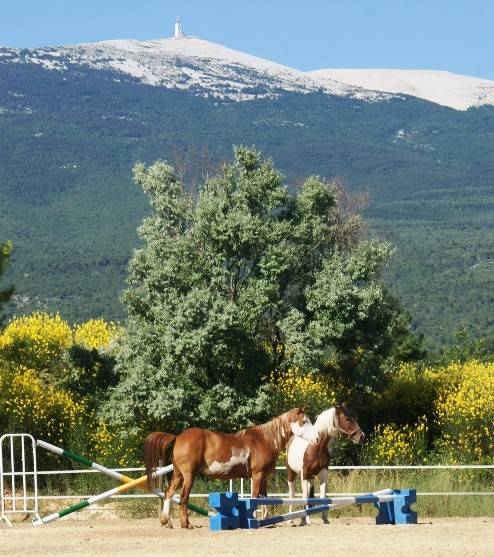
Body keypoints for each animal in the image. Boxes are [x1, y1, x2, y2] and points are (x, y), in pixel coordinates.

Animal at [145, 406, 318, 528]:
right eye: (304, 421)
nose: (317, 439)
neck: (265, 440)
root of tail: (178, 437)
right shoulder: (257, 475)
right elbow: (254, 497)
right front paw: (253, 519)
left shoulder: (263, 477)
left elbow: (264, 497)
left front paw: (267, 520)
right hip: (189, 475)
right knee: (183, 497)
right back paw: (186, 524)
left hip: (178, 474)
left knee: (168, 493)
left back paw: (166, 521)